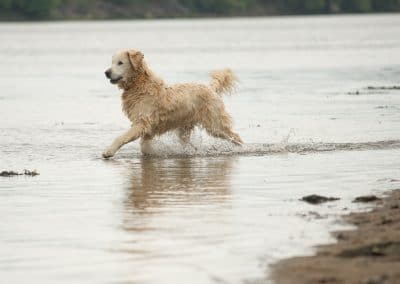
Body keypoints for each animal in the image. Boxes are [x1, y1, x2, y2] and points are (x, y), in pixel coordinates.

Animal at [101, 49, 242, 159]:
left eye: (120, 62)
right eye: (112, 62)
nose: (106, 72)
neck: (139, 84)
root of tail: (210, 88)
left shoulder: (142, 122)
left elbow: (121, 137)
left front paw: (108, 152)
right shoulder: (147, 127)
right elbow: (144, 146)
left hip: (215, 124)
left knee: (235, 136)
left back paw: (242, 148)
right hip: (185, 128)